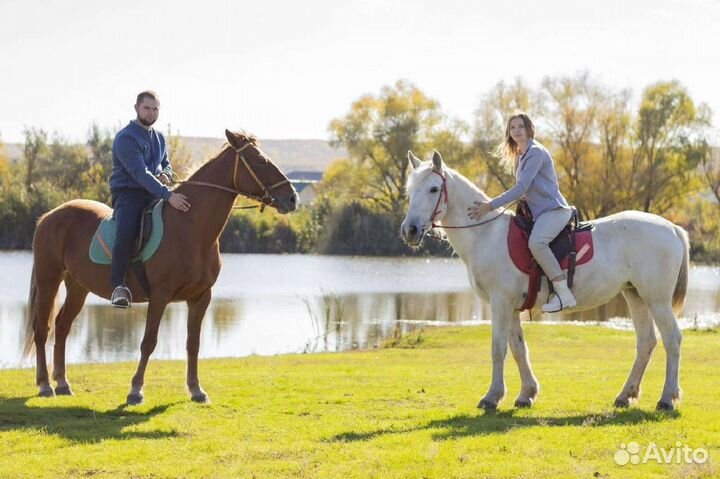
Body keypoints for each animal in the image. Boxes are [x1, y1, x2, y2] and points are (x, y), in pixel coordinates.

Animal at [23, 131, 296, 404]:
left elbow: (193, 343)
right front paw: (136, 390)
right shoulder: (160, 296)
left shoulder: (201, 297)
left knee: (62, 327)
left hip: (78, 287)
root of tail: (48, 216)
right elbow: (149, 342)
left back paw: (62, 383)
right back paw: (45, 385)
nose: (293, 198)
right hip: (49, 281)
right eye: (260, 161)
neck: (190, 227)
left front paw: (196, 389)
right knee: (42, 330)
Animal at [402, 152, 688, 410]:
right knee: (646, 343)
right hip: (635, 295)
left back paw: (666, 398)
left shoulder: (500, 303)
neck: (487, 234)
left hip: (657, 300)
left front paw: (491, 397)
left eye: (433, 188)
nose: (410, 230)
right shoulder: (511, 307)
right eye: (410, 191)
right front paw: (526, 394)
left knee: (672, 340)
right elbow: (518, 348)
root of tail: (672, 228)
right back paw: (625, 395)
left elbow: (498, 348)